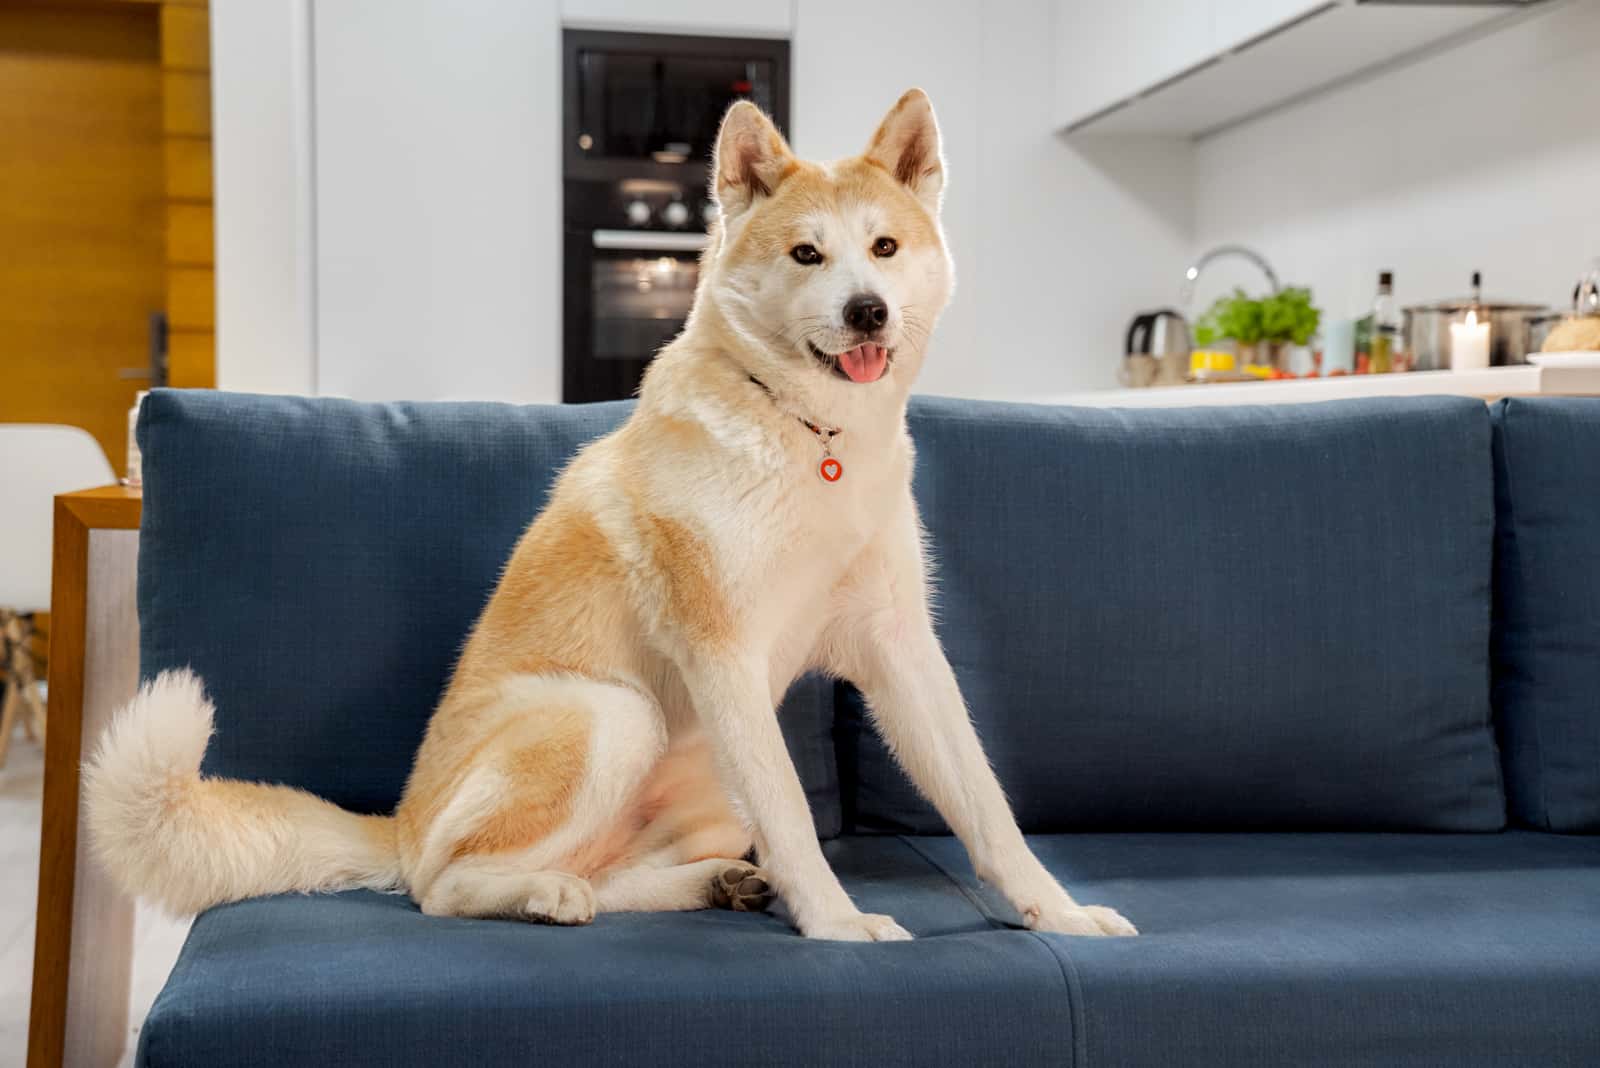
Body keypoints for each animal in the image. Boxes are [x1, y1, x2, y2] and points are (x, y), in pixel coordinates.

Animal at [87, 93, 1139, 940]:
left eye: (884, 247)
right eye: (808, 253)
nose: (869, 311)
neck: (808, 437)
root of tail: (399, 821)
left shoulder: (900, 653)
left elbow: (986, 808)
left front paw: (1058, 914)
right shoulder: (723, 655)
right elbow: (800, 823)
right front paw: (839, 926)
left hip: (707, 775)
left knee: (614, 871)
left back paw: (705, 885)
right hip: (612, 715)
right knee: (442, 887)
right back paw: (544, 895)